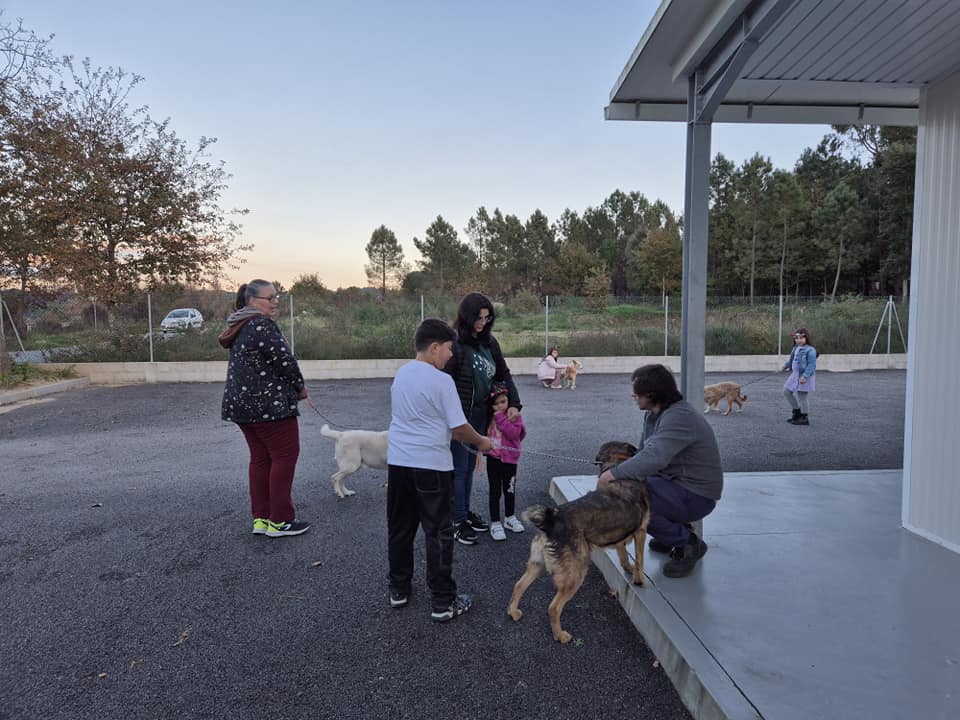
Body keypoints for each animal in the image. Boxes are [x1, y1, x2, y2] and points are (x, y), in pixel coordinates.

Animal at [502, 442, 652, 644]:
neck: (616, 464)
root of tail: (552, 520)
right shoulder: (641, 531)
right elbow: (640, 559)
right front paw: (639, 579)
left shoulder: (622, 535)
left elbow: (622, 554)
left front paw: (627, 568)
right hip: (576, 575)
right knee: (554, 607)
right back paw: (560, 635)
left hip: (537, 564)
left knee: (518, 585)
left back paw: (513, 612)